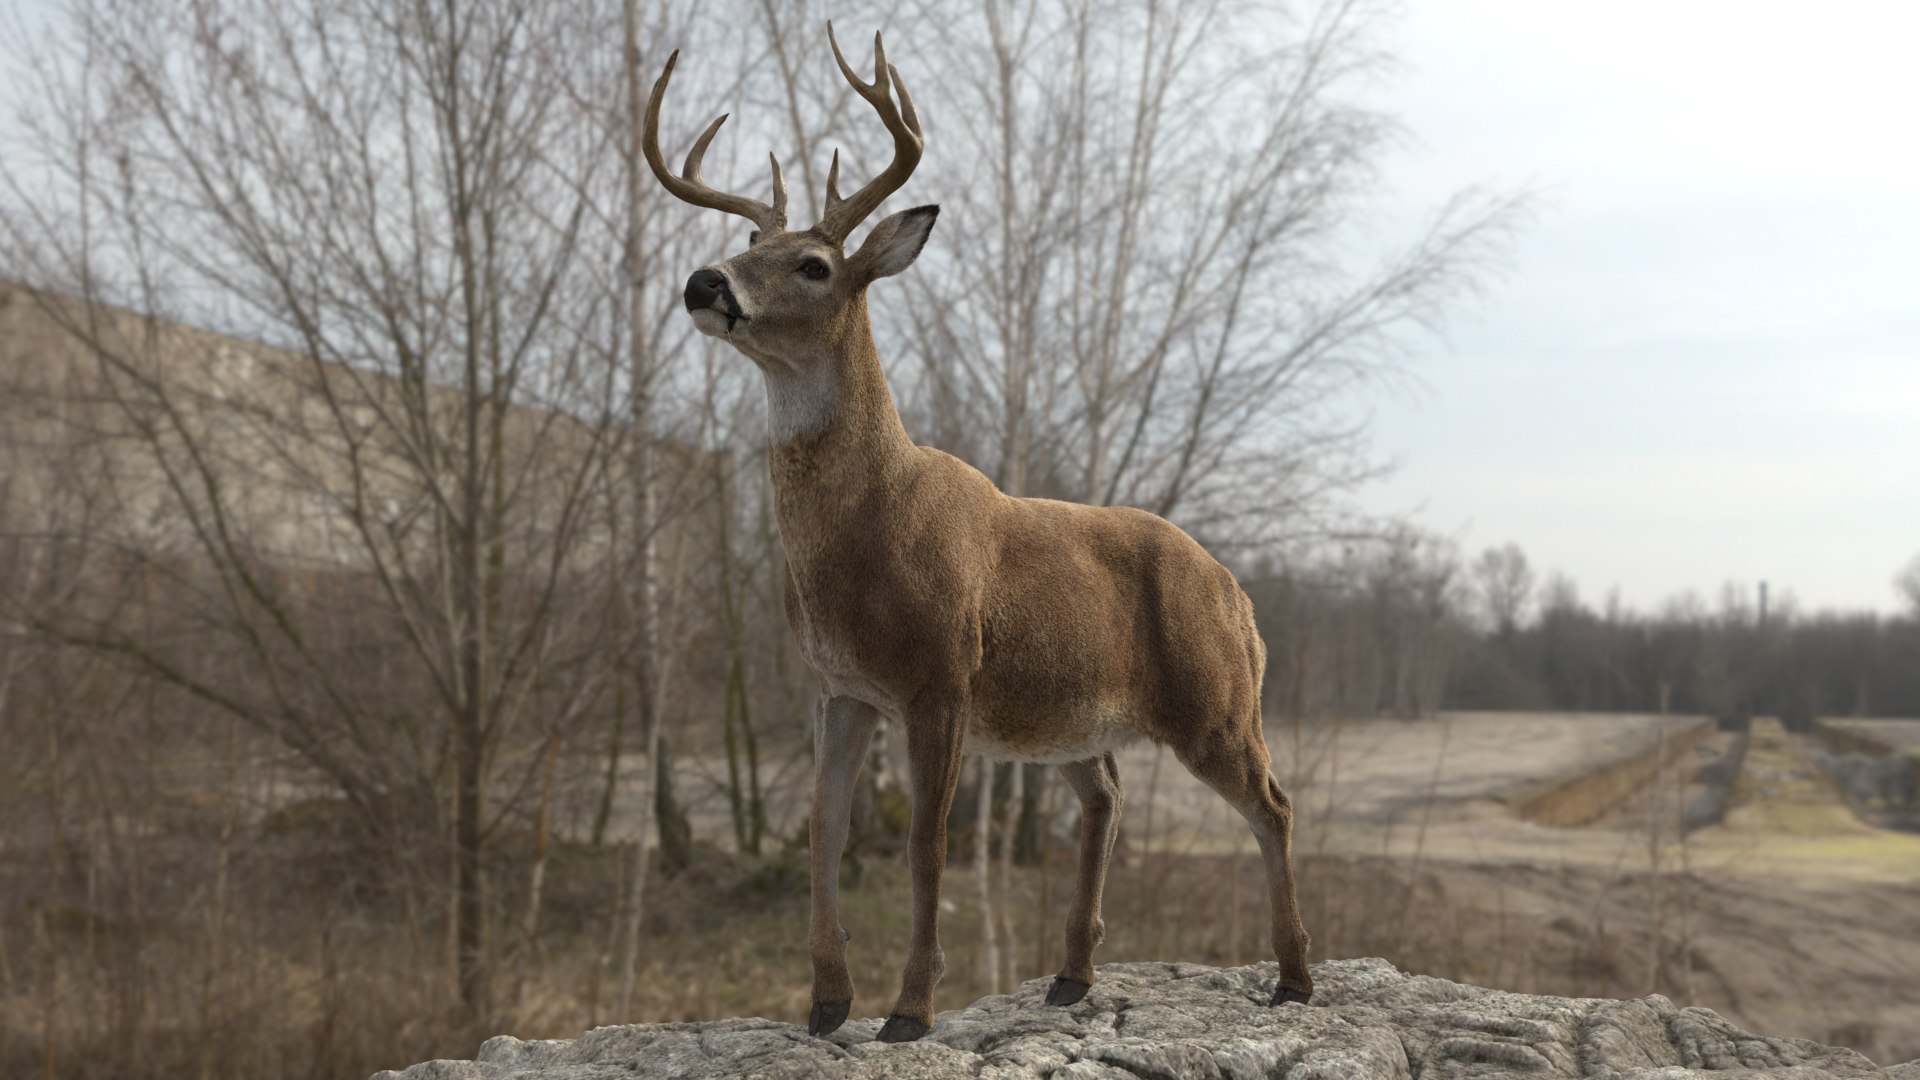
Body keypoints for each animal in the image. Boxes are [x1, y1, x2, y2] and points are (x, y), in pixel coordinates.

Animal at [643, 25, 1313, 1044]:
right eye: (752, 240)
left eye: (815, 266)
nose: (705, 281)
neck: (865, 532)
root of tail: (1240, 595)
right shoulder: (841, 686)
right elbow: (825, 830)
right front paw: (825, 1003)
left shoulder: (943, 672)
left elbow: (929, 842)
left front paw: (910, 1010)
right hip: (1072, 717)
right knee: (1108, 795)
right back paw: (1072, 977)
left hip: (1218, 699)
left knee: (1273, 804)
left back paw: (1296, 978)